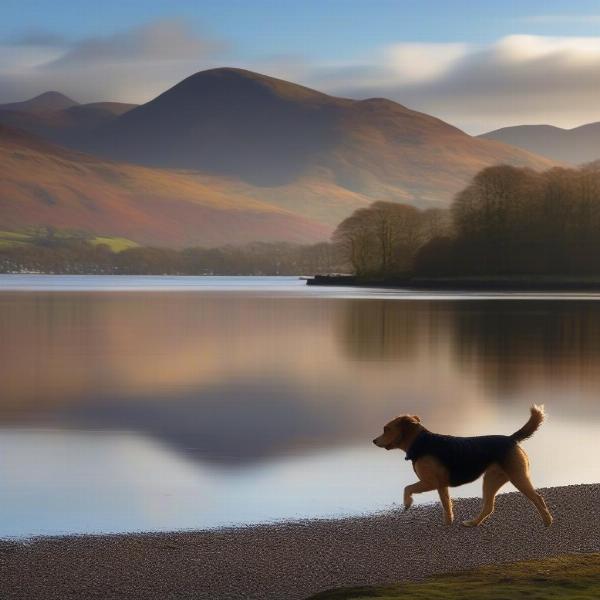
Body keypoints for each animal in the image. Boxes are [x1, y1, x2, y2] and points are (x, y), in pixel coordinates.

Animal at [376, 406, 552, 528]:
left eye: (386, 429)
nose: (373, 441)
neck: (420, 442)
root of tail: (511, 439)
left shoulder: (431, 482)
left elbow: (407, 488)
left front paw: (407, 503)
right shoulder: (441, 485)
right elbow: (447, 505)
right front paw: (448, 523)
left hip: (518, 477)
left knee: (538, 498)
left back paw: (547, 521)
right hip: (491, 480)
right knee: (488, 507)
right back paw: (473, 523)